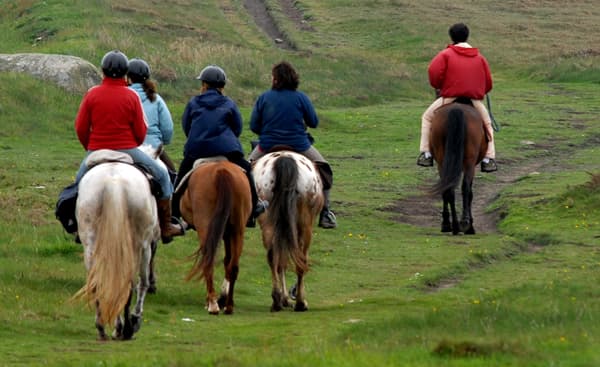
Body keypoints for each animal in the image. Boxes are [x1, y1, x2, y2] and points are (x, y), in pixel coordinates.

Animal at [73, 147, 159, 342]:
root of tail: (114, 182)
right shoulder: (146, 246)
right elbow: (142, 283)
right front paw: (132, 321)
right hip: (140, 245)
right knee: (132, 283)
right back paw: (127, 327)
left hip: (91, 243)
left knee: (99, 282)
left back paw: (102, 327)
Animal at [178, 160, 253, 314]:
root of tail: (221, 170)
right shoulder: (227, 234)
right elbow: (227, 260)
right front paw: (223, 298)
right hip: (237, 231)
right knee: (233, 266)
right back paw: (229, 306)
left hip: (205, 226)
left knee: (208, 261)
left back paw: (212, 304)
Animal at [251, 151, 324, 312]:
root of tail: (284, 158)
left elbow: (281, 262)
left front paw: (284, 298)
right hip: (305, 226)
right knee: (301, 259)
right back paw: (300, 303)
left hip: (268, 221)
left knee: (273, 257)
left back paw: (276, 300)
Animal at [432, 99, 488, 234]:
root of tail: (457, 109)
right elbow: (470, 192)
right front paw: (470, 224)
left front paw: (446, 224)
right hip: (469, 163)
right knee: (465, 188)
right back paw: (465, 224)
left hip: (442, 161)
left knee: (448, 188)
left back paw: (452, 225)